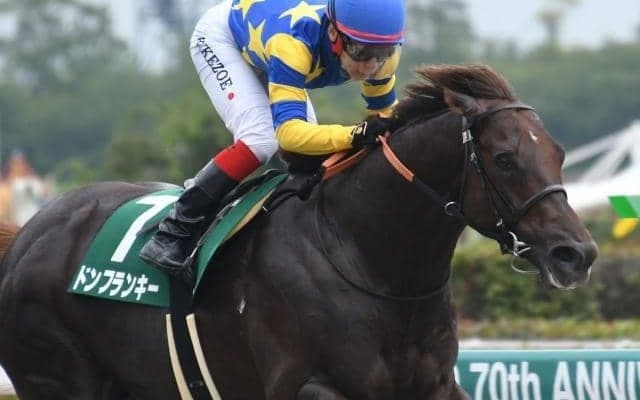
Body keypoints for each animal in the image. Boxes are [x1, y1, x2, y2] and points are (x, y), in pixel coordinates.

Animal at [0, 64, 597, 399]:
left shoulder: (435, 385)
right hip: (58, 378)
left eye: (559, 154)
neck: (368, 260)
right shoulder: (307, 385)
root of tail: (31, 233)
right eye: (503, 158)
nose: (578, 253)